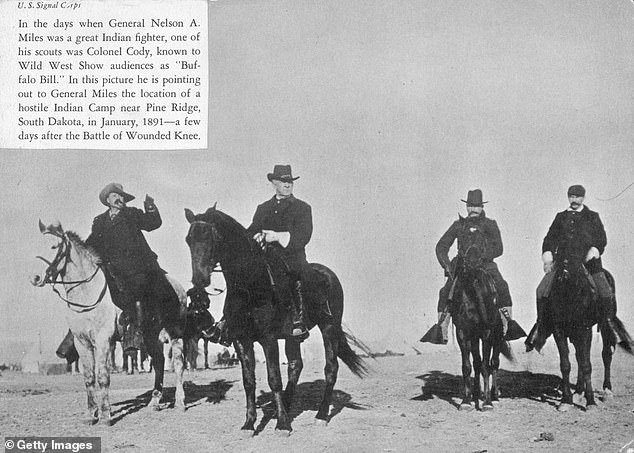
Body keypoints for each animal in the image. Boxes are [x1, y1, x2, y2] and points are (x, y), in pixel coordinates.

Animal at [183, 206, 366, 434]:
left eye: (213, 237)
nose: (199, 280)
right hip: (293, 336)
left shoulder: (268, 338)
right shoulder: (241, 340)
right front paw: (250, 423)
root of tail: (328, 275)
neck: (250, 285)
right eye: (189, 239)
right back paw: (285, 405)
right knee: (296, 366)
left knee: (330, 369)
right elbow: (249, 381)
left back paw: (321, 415)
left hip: (329, 328)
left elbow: (274, 379)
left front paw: (283, 424)